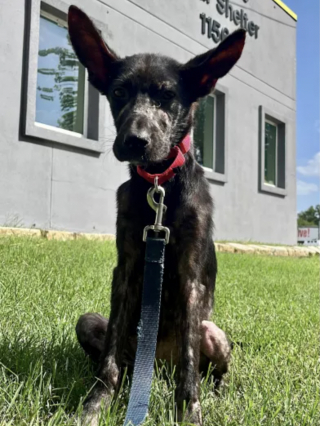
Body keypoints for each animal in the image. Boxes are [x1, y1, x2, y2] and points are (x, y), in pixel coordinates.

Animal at [69, 5, 246, 422]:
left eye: (168, 96)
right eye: (118, 93)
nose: (135, 141)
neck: (160, 185)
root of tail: (157, 364)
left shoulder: (189, 277)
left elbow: (190, 367)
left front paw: (190, 412)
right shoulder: (128, 267)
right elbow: (108, 363)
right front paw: (95, 405)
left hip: (214, 332)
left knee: (210, 368)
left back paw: (219, 393)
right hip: (92, 322)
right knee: (116, 357)